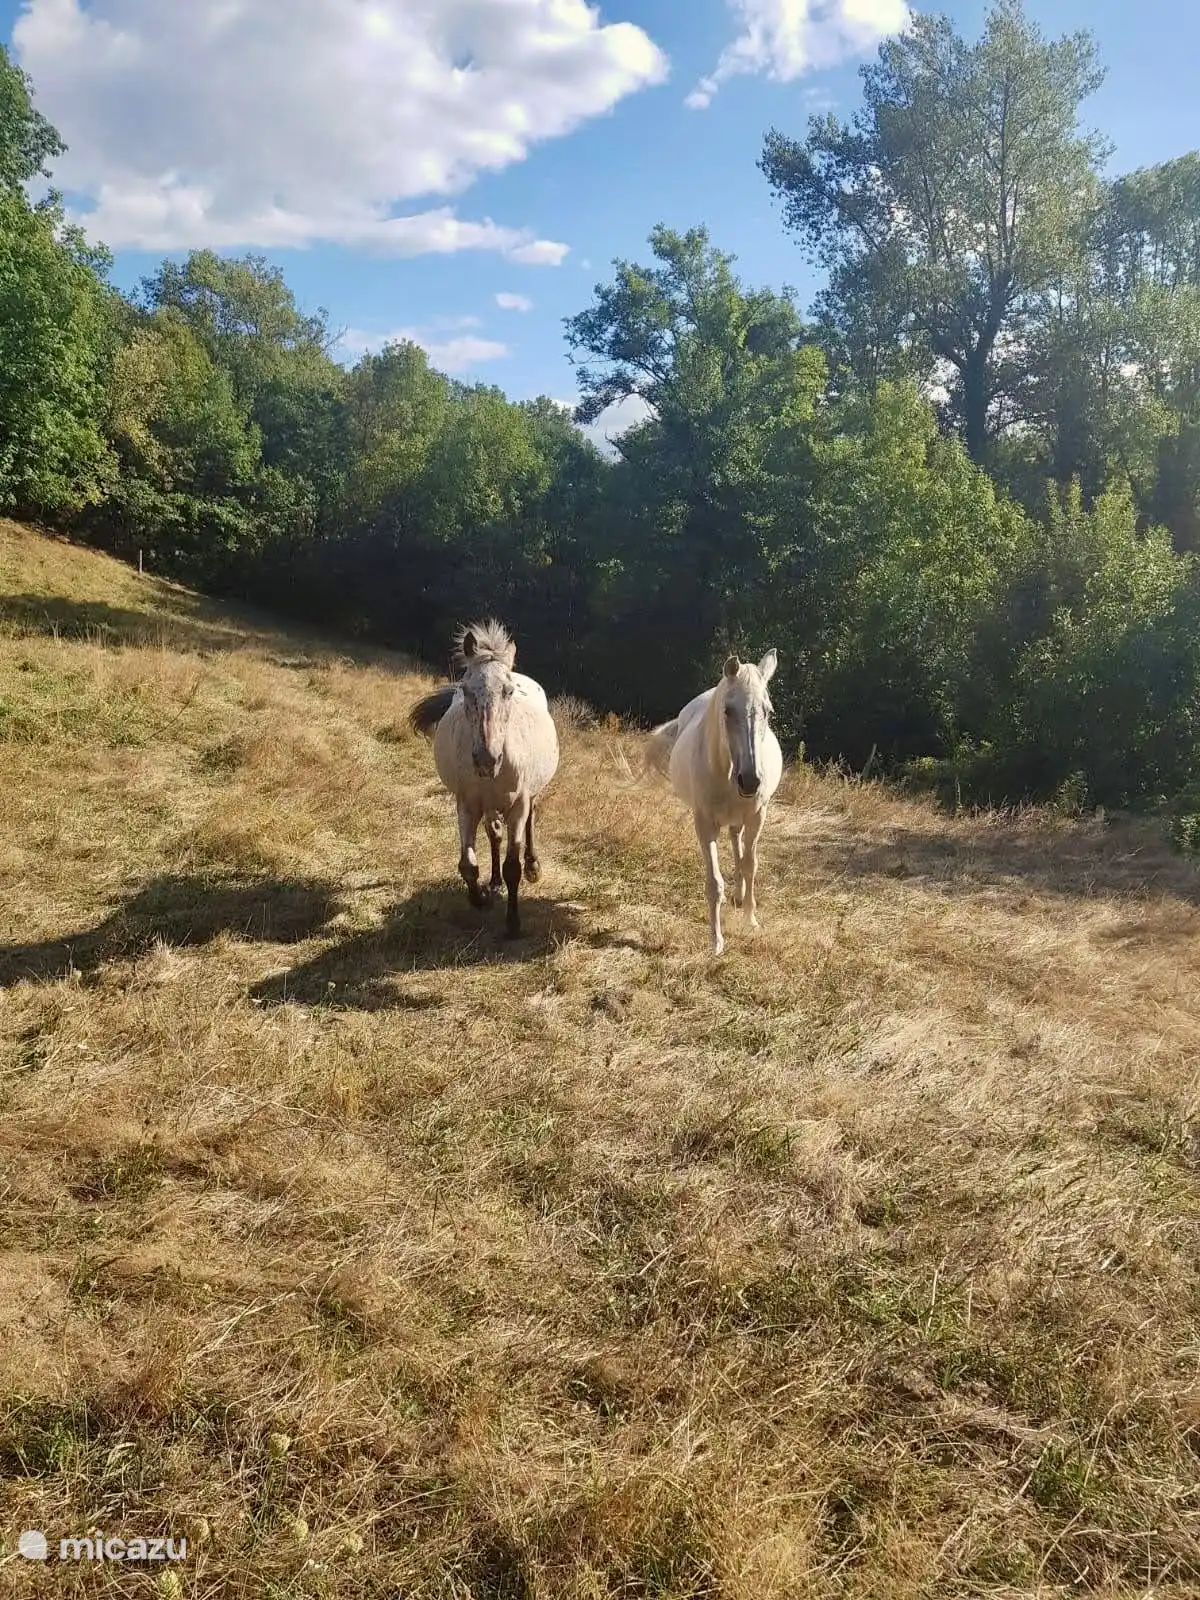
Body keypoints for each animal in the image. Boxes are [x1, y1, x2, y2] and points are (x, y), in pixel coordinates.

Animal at [408, 621, 559, 938]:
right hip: (488, 805)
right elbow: (468, 865)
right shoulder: (467, 805)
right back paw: (494, 882)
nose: (486, 760)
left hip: (530, 796)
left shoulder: (517, 807)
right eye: (465, 690)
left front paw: (513, 924)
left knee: (530, 819)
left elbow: (513, 865)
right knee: (494, 834)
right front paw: (482, 897)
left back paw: (533, 867)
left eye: (508, 691)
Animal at [646, 650, 782, 955]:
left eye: (768, 711)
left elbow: (750, 865)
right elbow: (714, 883)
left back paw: (740, 895)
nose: (750, 781)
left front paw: (750, 920)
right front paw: (716, 940)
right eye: (728, 710)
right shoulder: (705, 822)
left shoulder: (758, 815)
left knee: (738, 843)